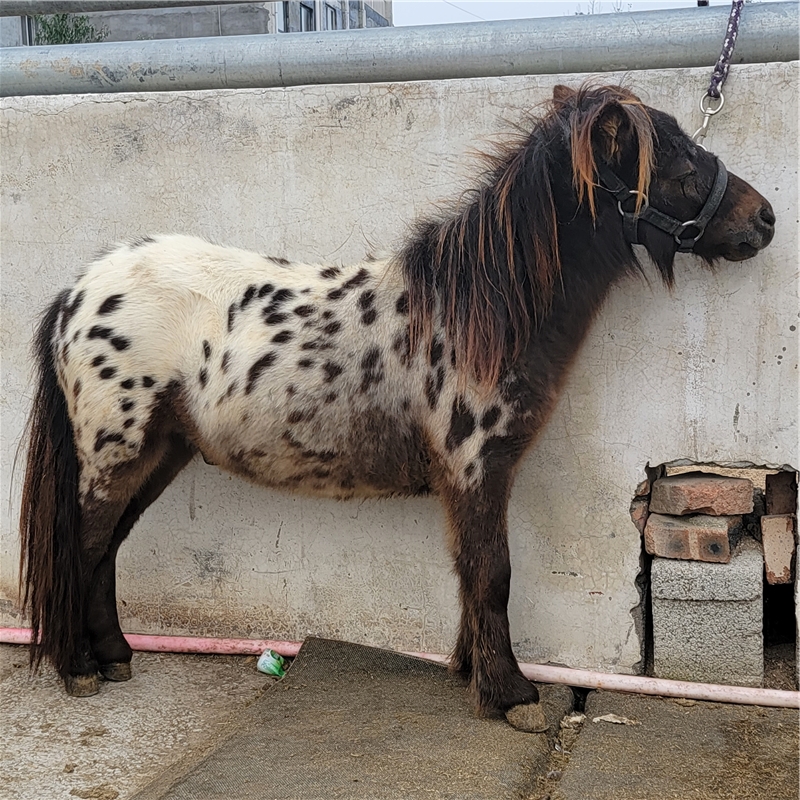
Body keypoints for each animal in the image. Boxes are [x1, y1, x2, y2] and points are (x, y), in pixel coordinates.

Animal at [19, 84, 774, 722]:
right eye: (678, 162)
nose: (763, 218)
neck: (477, 314)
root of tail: (78, 291)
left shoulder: (468, 480)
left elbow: (469, 570)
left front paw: (470, 671)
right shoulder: (476, 469)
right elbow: (493, 573)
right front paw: (510, 695)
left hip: (159, 454)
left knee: (105, 550)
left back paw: (115, 657)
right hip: (114, 456)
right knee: (83, 545)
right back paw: (80, 668)